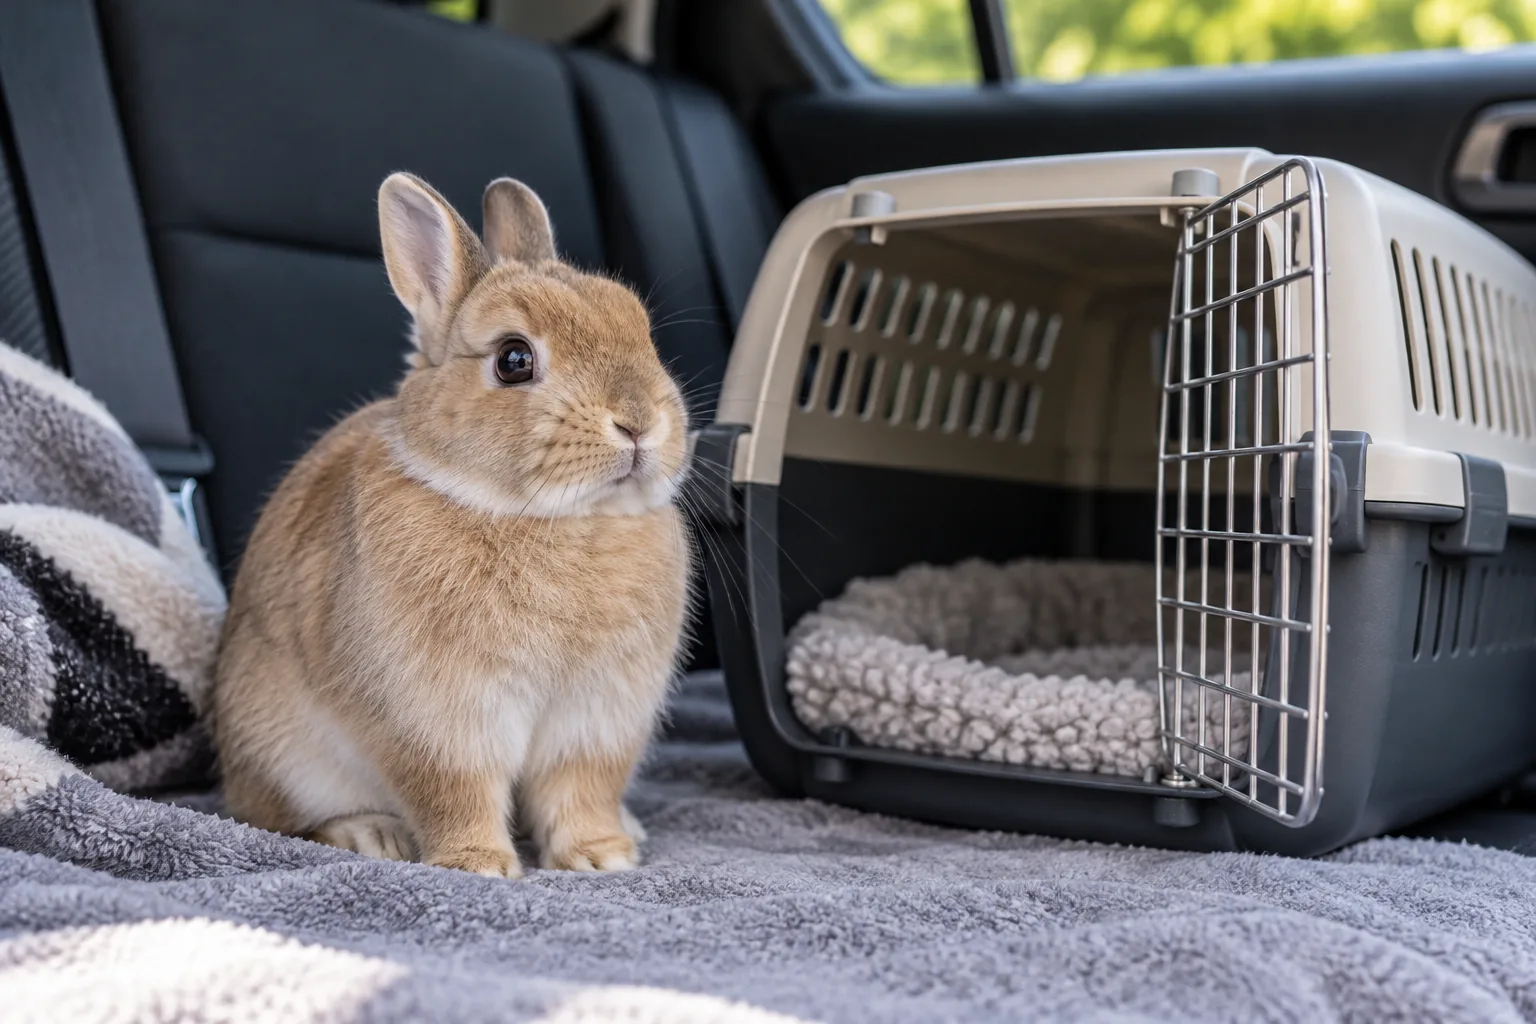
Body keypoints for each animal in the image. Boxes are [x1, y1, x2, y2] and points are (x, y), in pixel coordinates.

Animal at [212, 172, 693, 878]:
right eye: (514, 359)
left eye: (642, 331)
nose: (638, 423)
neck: (556, 517)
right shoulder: (437, 719)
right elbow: (453, 788)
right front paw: (478, 865)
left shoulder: (597, 718)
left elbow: (582, 789)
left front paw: (602, 857)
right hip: (282, 754)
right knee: (281, 817)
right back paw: (371, 833)